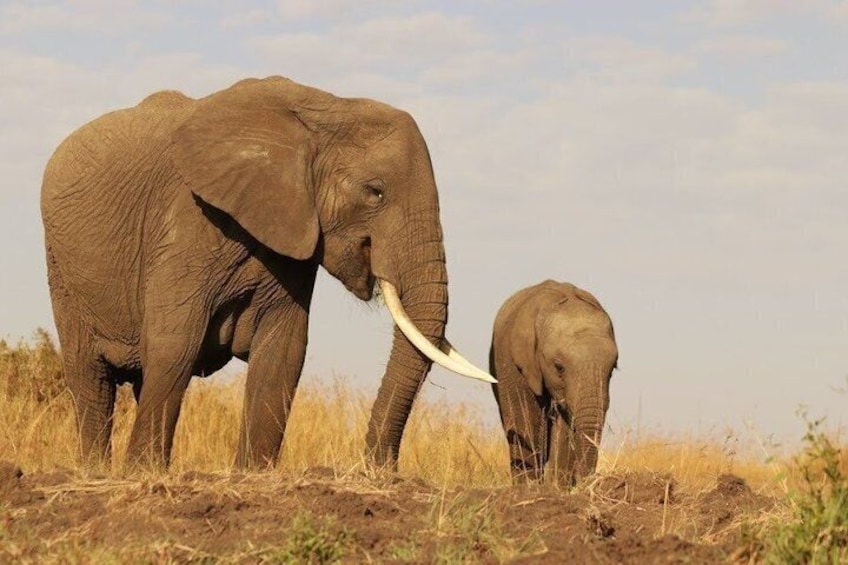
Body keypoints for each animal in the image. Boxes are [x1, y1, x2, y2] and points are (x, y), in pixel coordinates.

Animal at [40, 76, 494, 470]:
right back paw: (95, 471)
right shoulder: (188, 220)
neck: (325, 110)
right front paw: (144, 472)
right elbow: (174, 344)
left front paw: (252, 473)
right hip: (60, 267)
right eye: (375, 192)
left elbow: (283, 352)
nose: (382, 469)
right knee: (90, 378)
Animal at [489, 280, 618, 486]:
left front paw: (557, 487)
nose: (586, 483)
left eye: (613, 368)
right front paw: (530, 487)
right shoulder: (517, 363)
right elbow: (526, 417)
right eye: (559, 367)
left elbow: (565, 427)